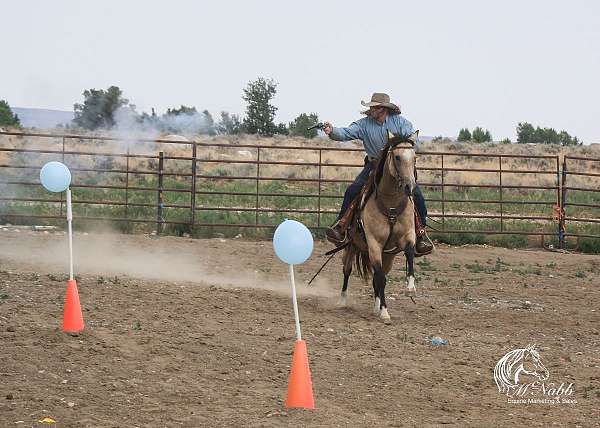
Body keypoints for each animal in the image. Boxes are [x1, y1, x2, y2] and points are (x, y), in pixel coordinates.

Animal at [338, 130, 418, 320]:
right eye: (397, 157)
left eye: (415, 158)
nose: (409, 186)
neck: (391, 205)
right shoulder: (374, 243)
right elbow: (380, 278)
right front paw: (384, 311)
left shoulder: (408, 235)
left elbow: (409, 252)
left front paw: (410, 286)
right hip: (352, 245)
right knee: (347, 269)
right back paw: (343, 300)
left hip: (388, 255)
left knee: (379, 275)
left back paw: (376, 305)